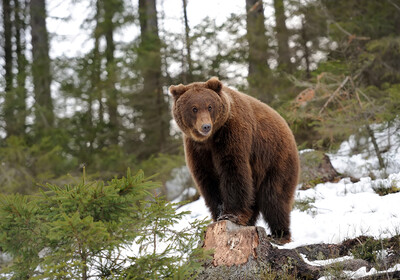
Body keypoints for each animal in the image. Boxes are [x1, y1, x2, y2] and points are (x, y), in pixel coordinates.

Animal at [170, 76, 300, 243]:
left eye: (210, 106)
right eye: (194, 108)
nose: (206, 126)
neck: (210, 139)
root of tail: (288, 128)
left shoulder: (232, 134)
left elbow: (233, 171)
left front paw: (231, 215)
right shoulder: (197, 150)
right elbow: (208, 180)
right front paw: (218, 214)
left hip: (276, 158)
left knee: (274, 197)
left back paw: (280, 234)